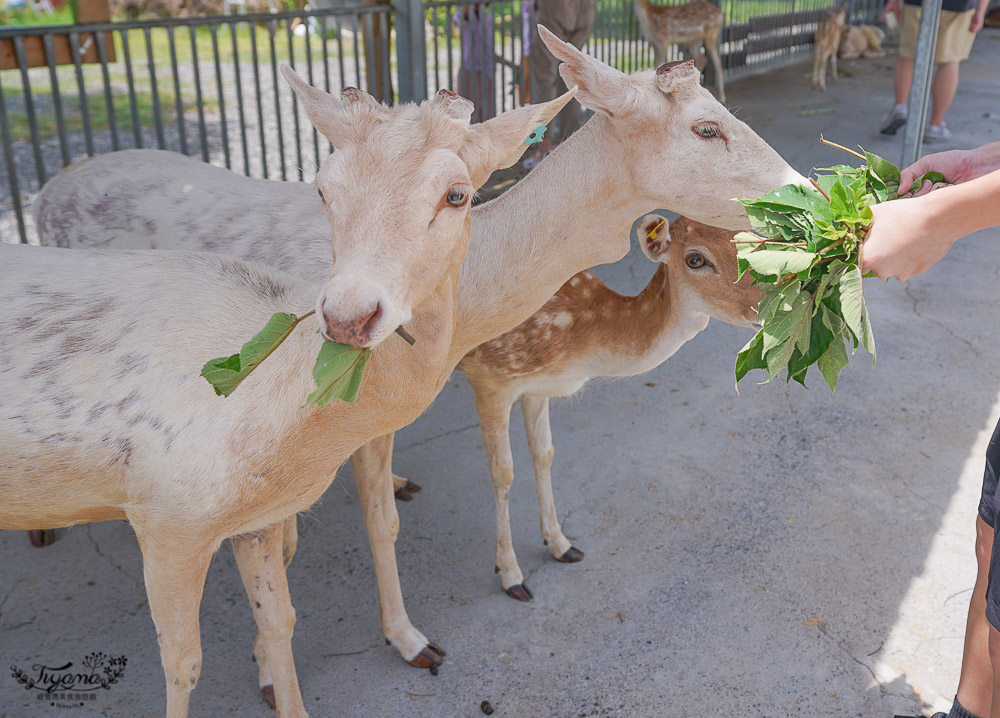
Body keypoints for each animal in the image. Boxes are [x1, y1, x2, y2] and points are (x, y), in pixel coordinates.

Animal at [1, 69, 580, 718]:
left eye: (457, 195)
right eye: (323, 189)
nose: (349, 316)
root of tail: (53, 184)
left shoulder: (256, 511)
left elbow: (292, 598)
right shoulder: (167, 516)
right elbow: (185, 661)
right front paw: (406, 639)